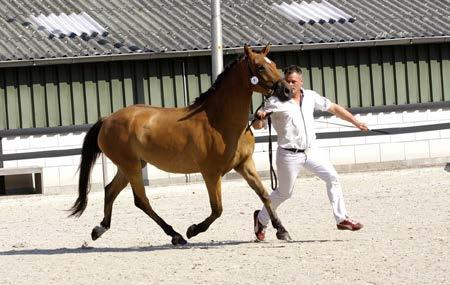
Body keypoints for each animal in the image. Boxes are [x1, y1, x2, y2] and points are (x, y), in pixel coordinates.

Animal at [71, 44, 294, 244]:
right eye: (260, 67)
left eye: (274, 64)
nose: (287, 90)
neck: (221, 122)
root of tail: (107, 119)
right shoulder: (211, 173)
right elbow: (217, 209)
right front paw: (193, 230)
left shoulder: (244, 164)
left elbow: (265, 195)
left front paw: (282, 230)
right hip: (131, 166)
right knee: (141, 200)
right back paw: (176, 235)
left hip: (131, 166)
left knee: (110, 190)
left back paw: (100, 229)